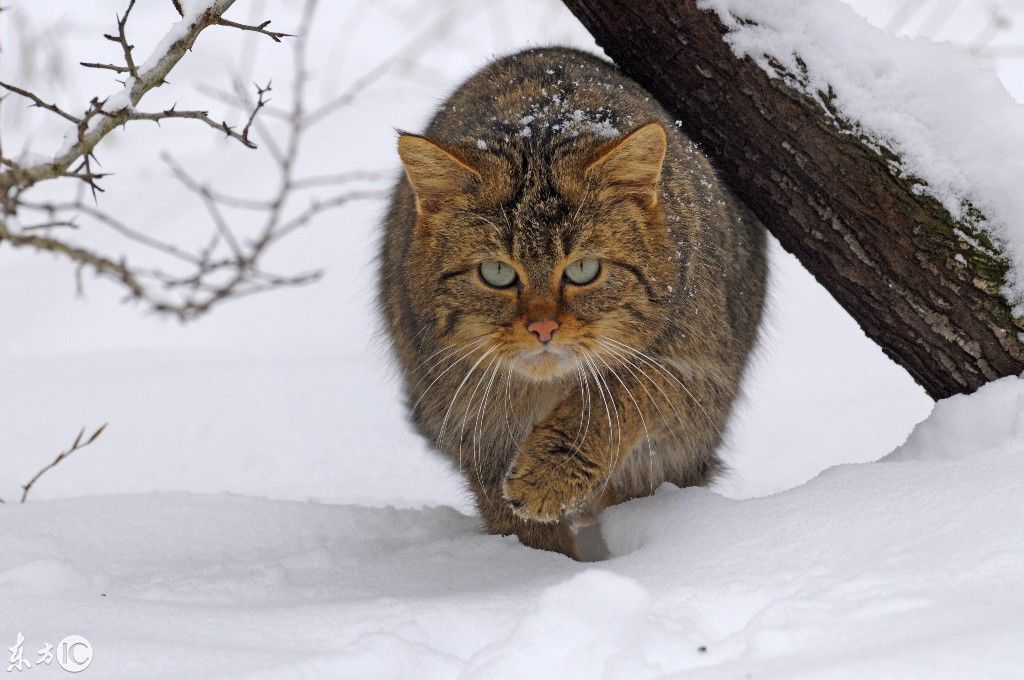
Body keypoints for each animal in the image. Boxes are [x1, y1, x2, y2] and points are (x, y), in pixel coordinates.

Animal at [380, 46, 765, 557]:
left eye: (584, 270)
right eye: (496, 273)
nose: (543, 328)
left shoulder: (698, 373)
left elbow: (615, 396)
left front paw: (551, 473)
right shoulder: (465, 420)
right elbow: (517, 523)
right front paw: (540, 563)